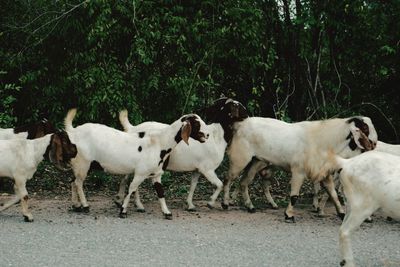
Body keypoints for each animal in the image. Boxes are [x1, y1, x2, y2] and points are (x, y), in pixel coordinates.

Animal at [64, 109, 208, 220]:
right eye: (196, 124)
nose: (207, 135)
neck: (159, 143)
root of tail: (74, 131)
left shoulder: (156, 174)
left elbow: (160, 192)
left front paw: (167, 213)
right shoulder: (140, 172)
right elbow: (131, 188)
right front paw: (123, 211)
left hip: (81, 164)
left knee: (73, 181)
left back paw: (76, 206)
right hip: (83, 163)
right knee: (78, 183)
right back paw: (85, 206)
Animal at [114, 98, 248, 211]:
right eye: (236, 105)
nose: (247, 114)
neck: (216, 137)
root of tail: (132, 128)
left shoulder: (197, 169)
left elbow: (193, 185)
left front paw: (190, 205)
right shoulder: (207, 169)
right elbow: (220, 184)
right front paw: (210, 203)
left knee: (126, 178)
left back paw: (120, 200)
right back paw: (138, 205)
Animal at [222, 116, 378, 223]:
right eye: (365, 128)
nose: (375, 144)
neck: (325, 140)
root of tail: (240, 124)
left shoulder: (324, 172)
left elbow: (332, 193)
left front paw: (341, 213)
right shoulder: (299, 171)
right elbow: (294, 196)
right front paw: (289, 215)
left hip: (256, 162)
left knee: (243, 183)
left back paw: (250, 207)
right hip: (240, 158)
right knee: (228, 178)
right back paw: (225, 204)